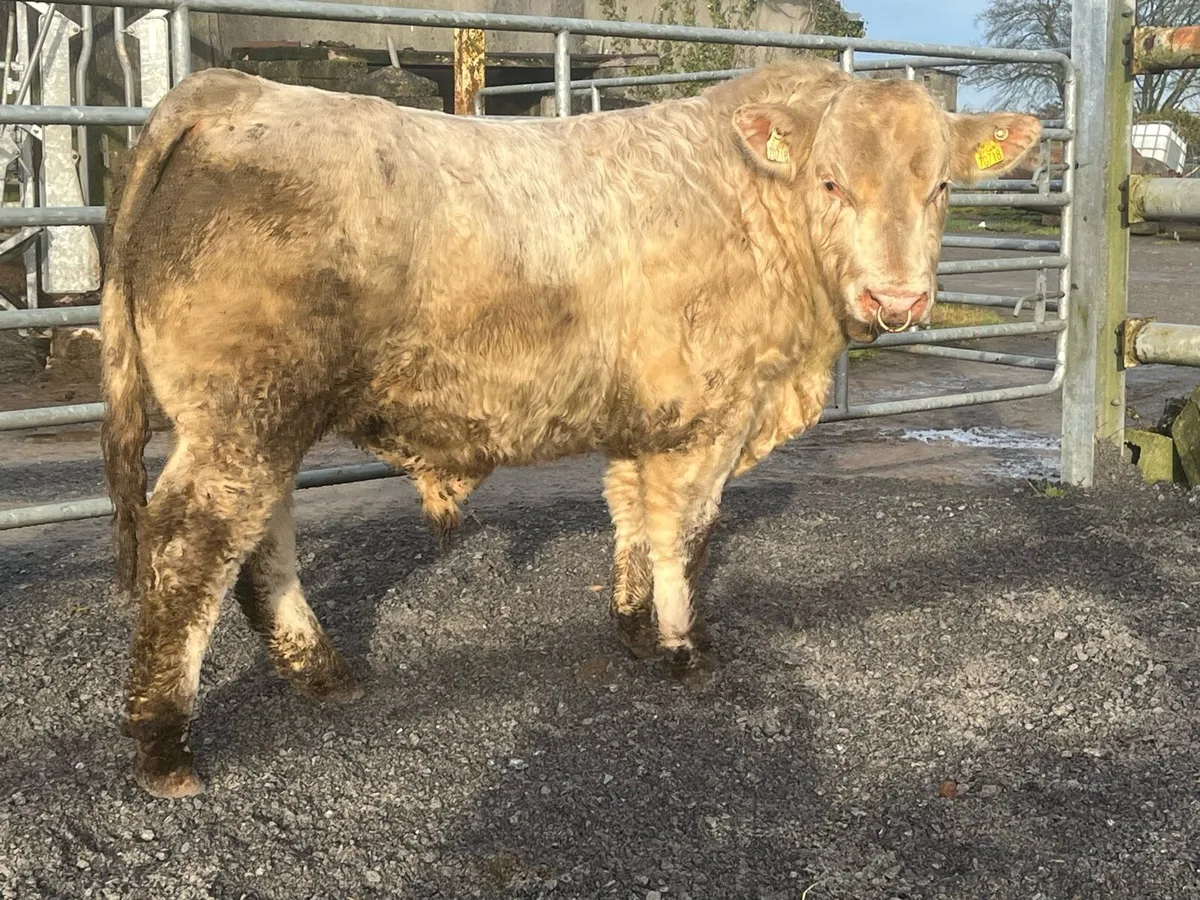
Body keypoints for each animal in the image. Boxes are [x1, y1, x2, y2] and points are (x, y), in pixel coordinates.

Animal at [99, 58, 1039, 798]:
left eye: (940, 187)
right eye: (833, 182)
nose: (898, 297)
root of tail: (231, 90)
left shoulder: (644, 418)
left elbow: (633, 518)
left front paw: (631, 626)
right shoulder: (710, 417)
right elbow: (684, 533)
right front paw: (686, 649)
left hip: (265, 420)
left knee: (260, 543)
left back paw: (322, 674)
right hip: (241, 417)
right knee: (192, 548)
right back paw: (164, 748)